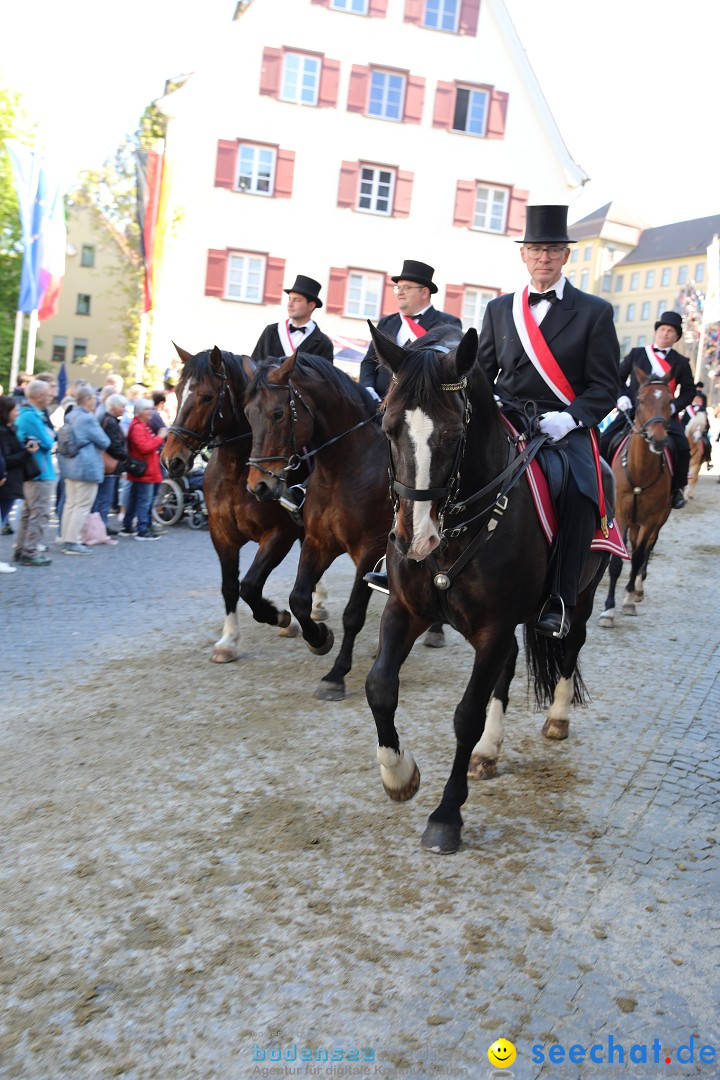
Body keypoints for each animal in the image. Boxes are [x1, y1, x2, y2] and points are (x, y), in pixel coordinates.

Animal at [161, 345, 302, 660]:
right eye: (177, 393)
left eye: (206, 397)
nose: (170, 460)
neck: (237, 469)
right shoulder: (221, 534)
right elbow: (229, 586)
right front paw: (228, 641)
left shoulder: (280, 533)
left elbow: (249, 586)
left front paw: (279, 615)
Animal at [241, 349, 390, 695]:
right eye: (248, 414)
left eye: (278, 414)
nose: (258, 486)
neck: (344, 469)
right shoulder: (318, 542)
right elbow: (298, 598)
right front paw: (319, 638)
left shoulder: (371, 550)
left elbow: (353, 614)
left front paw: (336, 674)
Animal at [362, 319, 613, 851]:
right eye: (386, 426)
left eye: (455, 434)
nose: (414, 539)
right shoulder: (405, 609)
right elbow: (380, 686)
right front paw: (399, 775)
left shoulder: (493, 627)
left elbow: (466, 715)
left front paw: (446, 815)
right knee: (512, 665)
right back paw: (489, 751)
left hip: (580, 597)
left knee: (570, 646)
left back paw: (558, 718)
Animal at [595, 369, 677, 630]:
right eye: (640, 400)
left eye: (670, 401)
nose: (658, 439)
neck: (640, 471)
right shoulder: (620, 515)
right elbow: (617, 563)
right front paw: (608, 610)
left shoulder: (651, 519)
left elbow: (639, 555)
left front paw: (629, 599)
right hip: (632, 521)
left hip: (659, 519)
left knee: (647, 548)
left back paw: (637, 589)